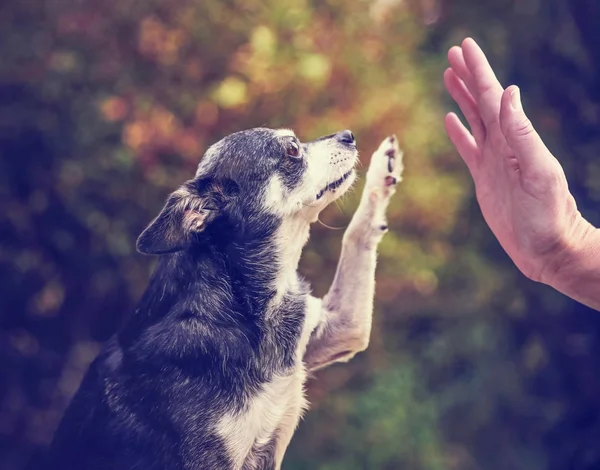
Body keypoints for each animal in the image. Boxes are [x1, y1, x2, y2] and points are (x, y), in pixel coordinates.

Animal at [41, 126, 404, 468]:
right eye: (292, 148)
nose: (348, 135)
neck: (242, 302)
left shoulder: (343, 329)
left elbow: (356, 236)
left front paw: (383, 170)